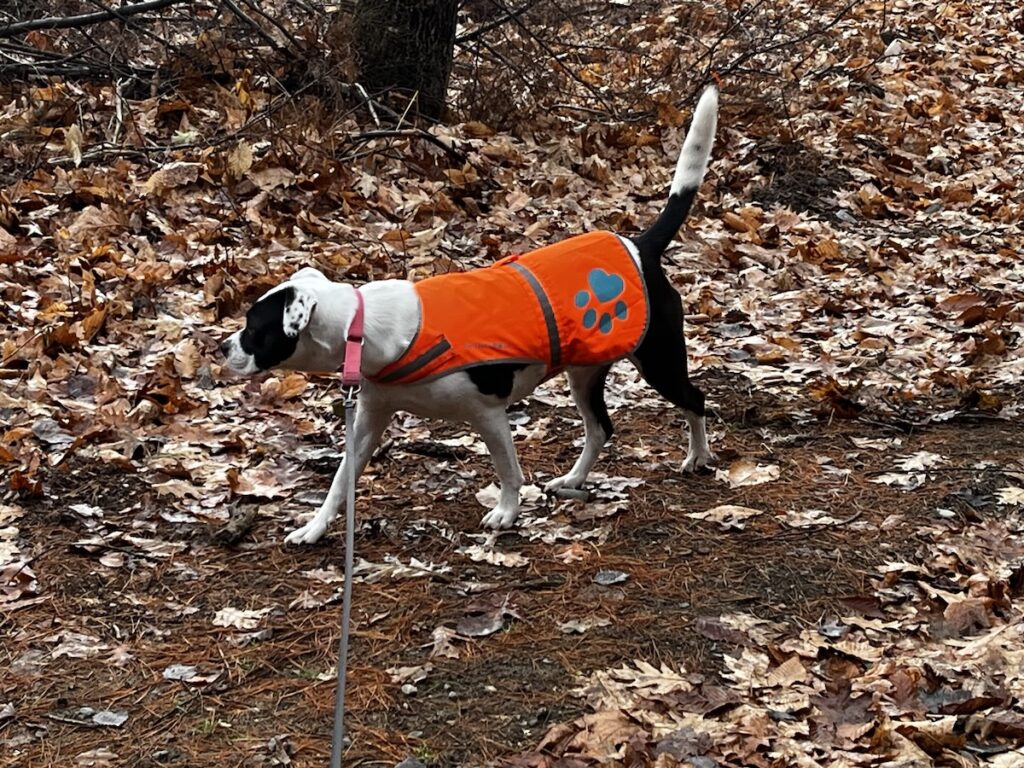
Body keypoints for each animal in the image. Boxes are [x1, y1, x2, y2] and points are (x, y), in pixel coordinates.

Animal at [222, 85, 720, 548]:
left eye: (254, 328)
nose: (222, 347)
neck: (365, 329)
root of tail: (641, 246)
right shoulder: (368, 421)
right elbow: (340, 482)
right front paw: (314, 528)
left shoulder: (489, 414)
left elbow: (509, 471)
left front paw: (507, 513)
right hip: (584, 371)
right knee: (600, 428)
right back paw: (575, 479)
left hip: (659, 360)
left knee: (695, 400)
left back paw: (697, 456)